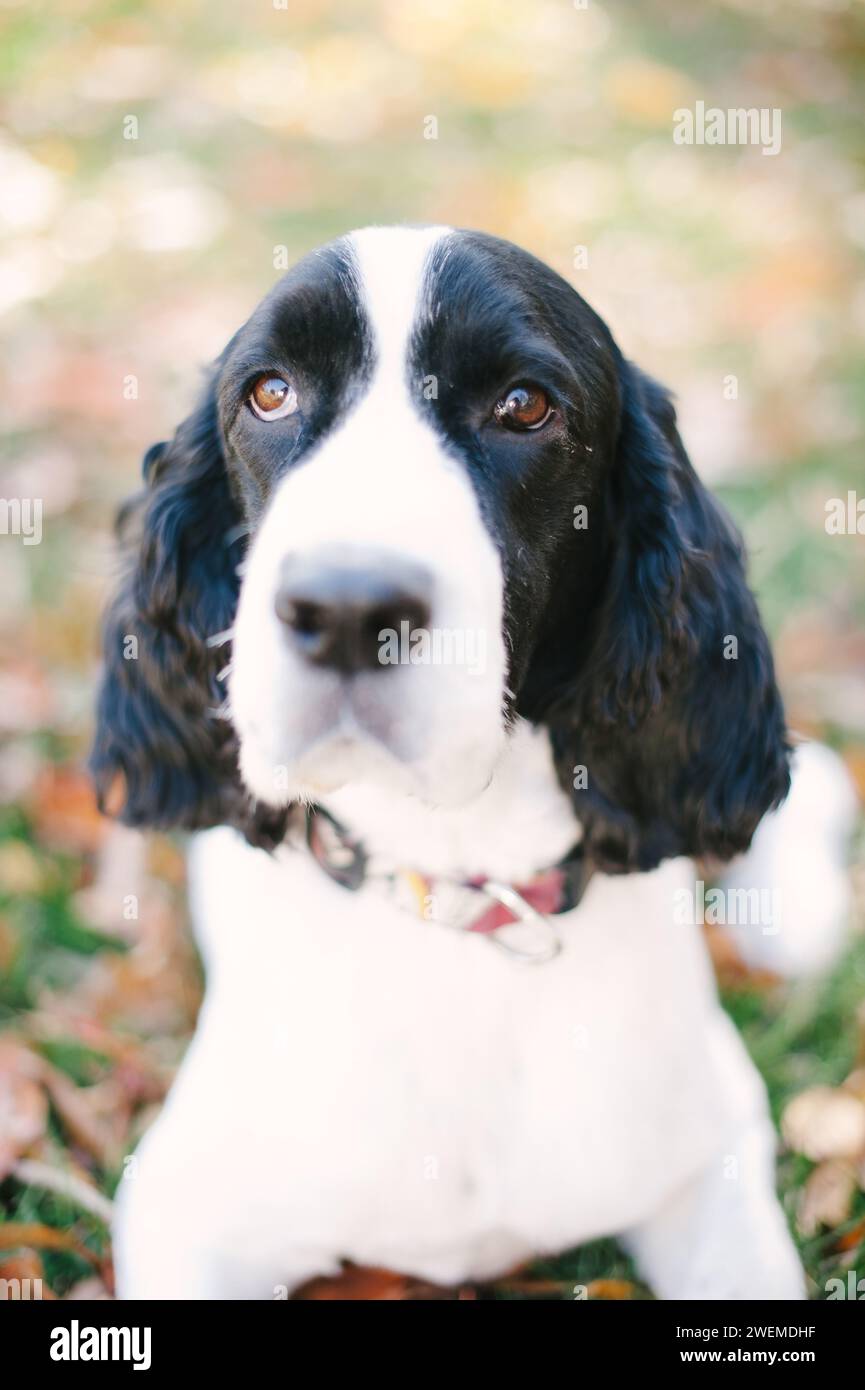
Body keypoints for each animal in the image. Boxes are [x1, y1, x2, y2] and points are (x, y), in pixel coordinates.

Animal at [91, 222, 856, 1295]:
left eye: (523, 405)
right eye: (270, 392)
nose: (346, 608)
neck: (450, 886)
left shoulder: (711, 1159)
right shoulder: (181, 1208)